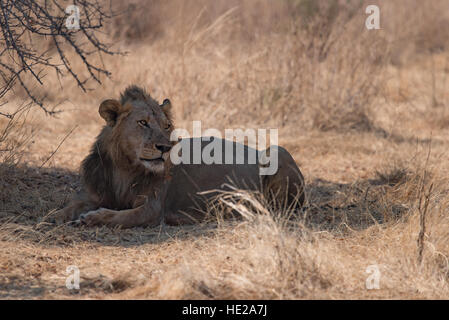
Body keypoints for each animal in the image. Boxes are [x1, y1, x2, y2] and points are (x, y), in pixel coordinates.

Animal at [54, 85, 302, 228]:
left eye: (167, 126)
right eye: (143, 122)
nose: (165, 147)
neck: (125, 168)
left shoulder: (152, 209)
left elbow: (118, 217)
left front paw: (91, 218)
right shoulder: (94, 193)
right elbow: (67, 207)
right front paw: (56, 216)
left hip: (277, 151)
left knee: (276, 209)